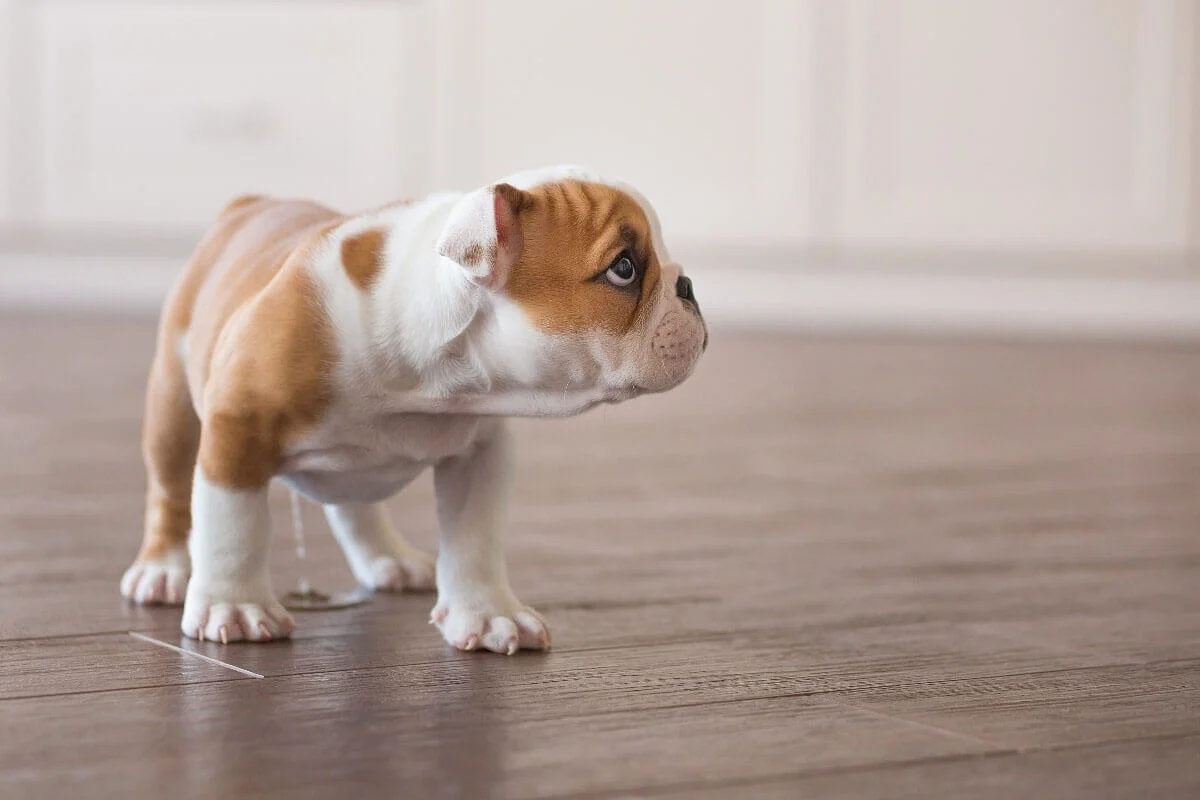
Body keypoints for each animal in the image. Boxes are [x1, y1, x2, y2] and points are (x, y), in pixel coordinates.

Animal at [120, 165, 700, 652]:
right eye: (623, 268)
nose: (688, 284)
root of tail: (249, 205)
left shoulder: (481, 455)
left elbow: (474, 538)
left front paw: (489, 614)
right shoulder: (238, 429)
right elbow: (232, 526)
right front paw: (234, 606)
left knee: (352, 503)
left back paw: (389, 559)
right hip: (173, 406)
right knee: (170, 490)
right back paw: (164, 570)